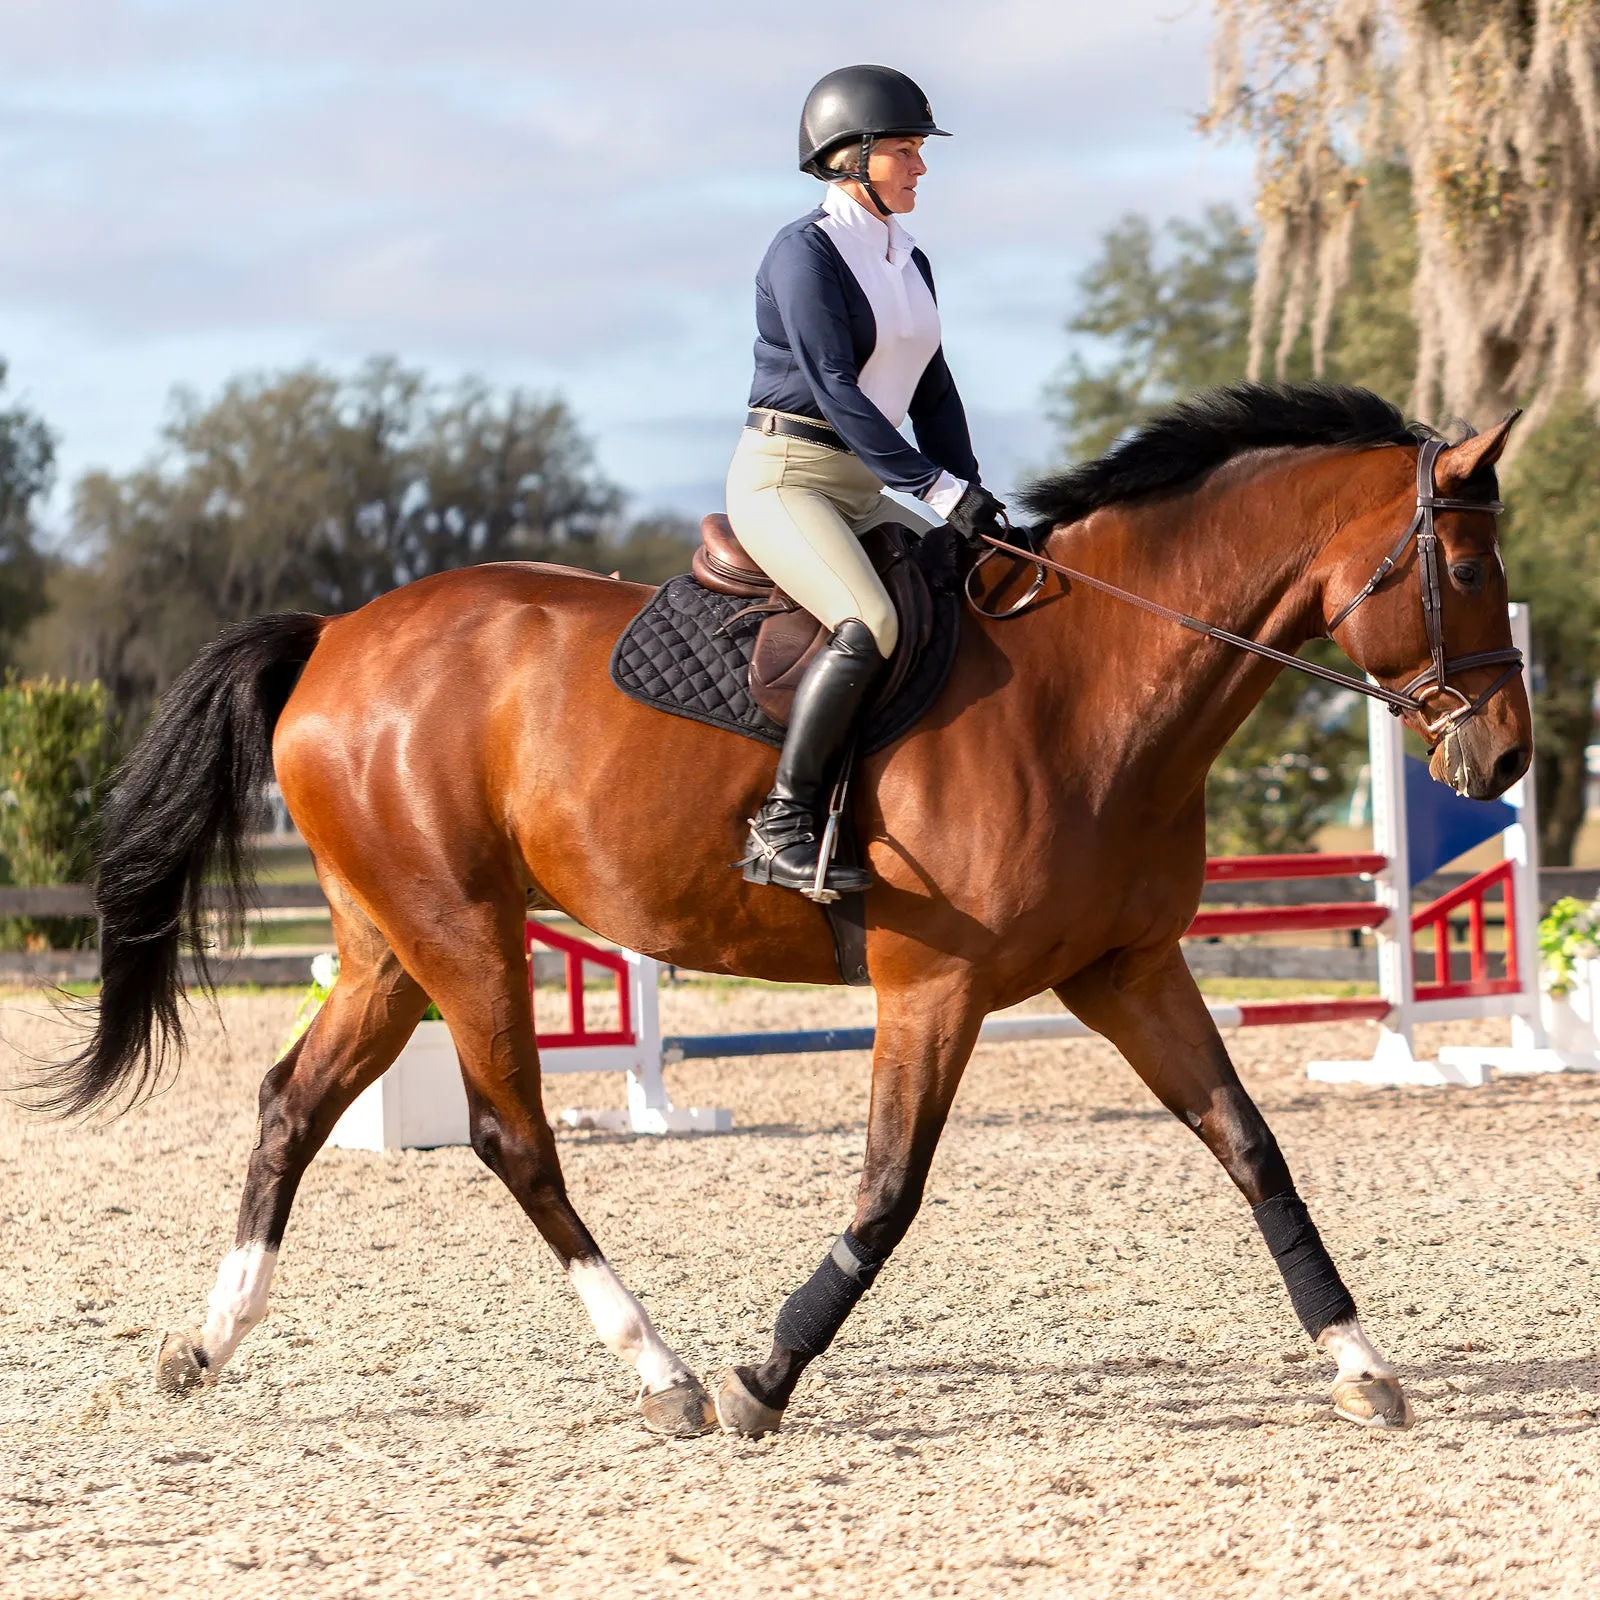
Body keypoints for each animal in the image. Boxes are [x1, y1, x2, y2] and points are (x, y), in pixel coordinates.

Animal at [43, 384, 1529, 1440]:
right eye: (1464, 574)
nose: (1505, 761)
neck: (1097, 682)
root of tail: (335, 637)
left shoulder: (1129, 969)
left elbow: (1252, 1148)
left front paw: (1362, 1364)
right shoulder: (934, 989)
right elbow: (887, 1190)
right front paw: (769, 1375)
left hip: (389, 947)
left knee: (292, 1104)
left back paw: (205, 1342)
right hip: (461, 932)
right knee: (512, 1137)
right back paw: (667, 1375)